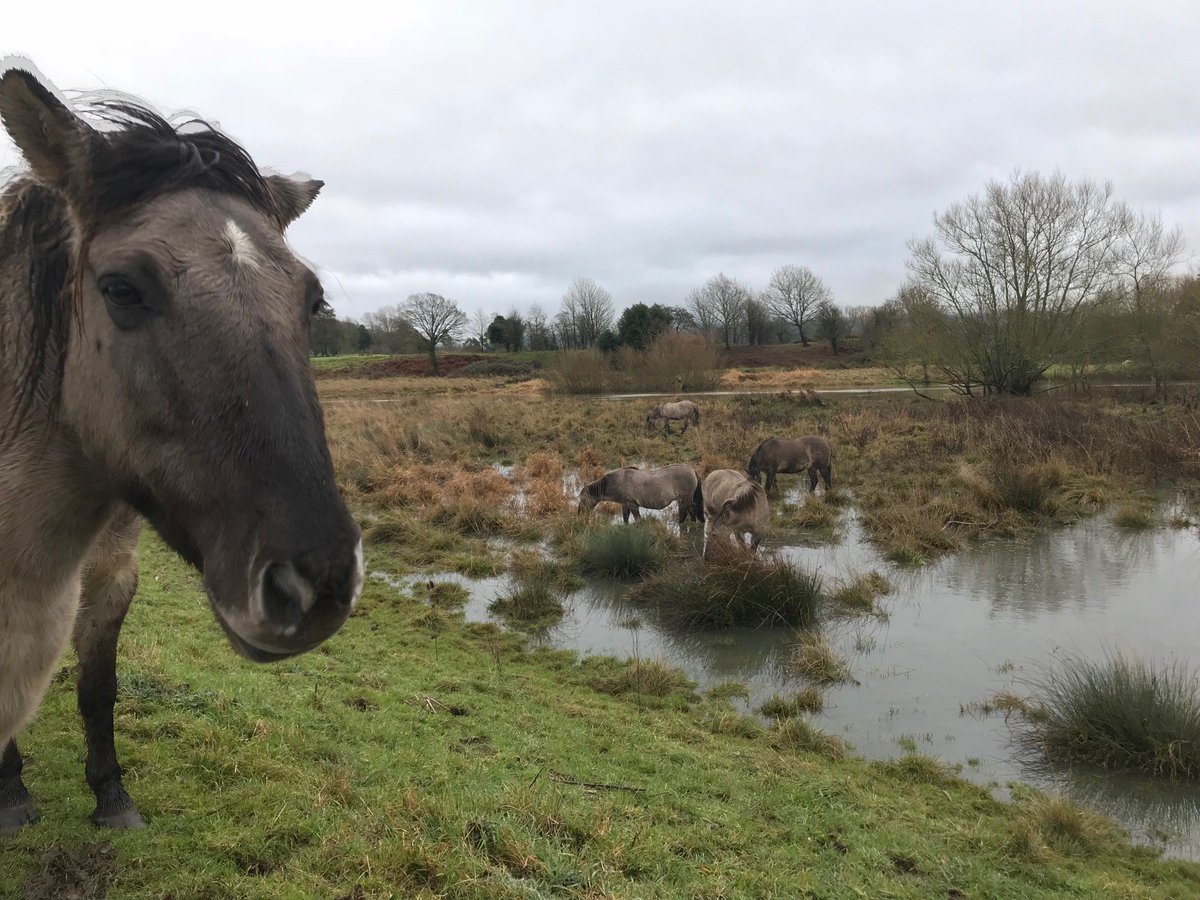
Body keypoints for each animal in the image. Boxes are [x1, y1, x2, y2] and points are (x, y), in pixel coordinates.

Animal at [0, 62, 363, 834]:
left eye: (312, 301)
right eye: (120, 289)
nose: (315, 585)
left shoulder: (113, 575)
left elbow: (98, 685)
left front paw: (111, 794)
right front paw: (11, 792)